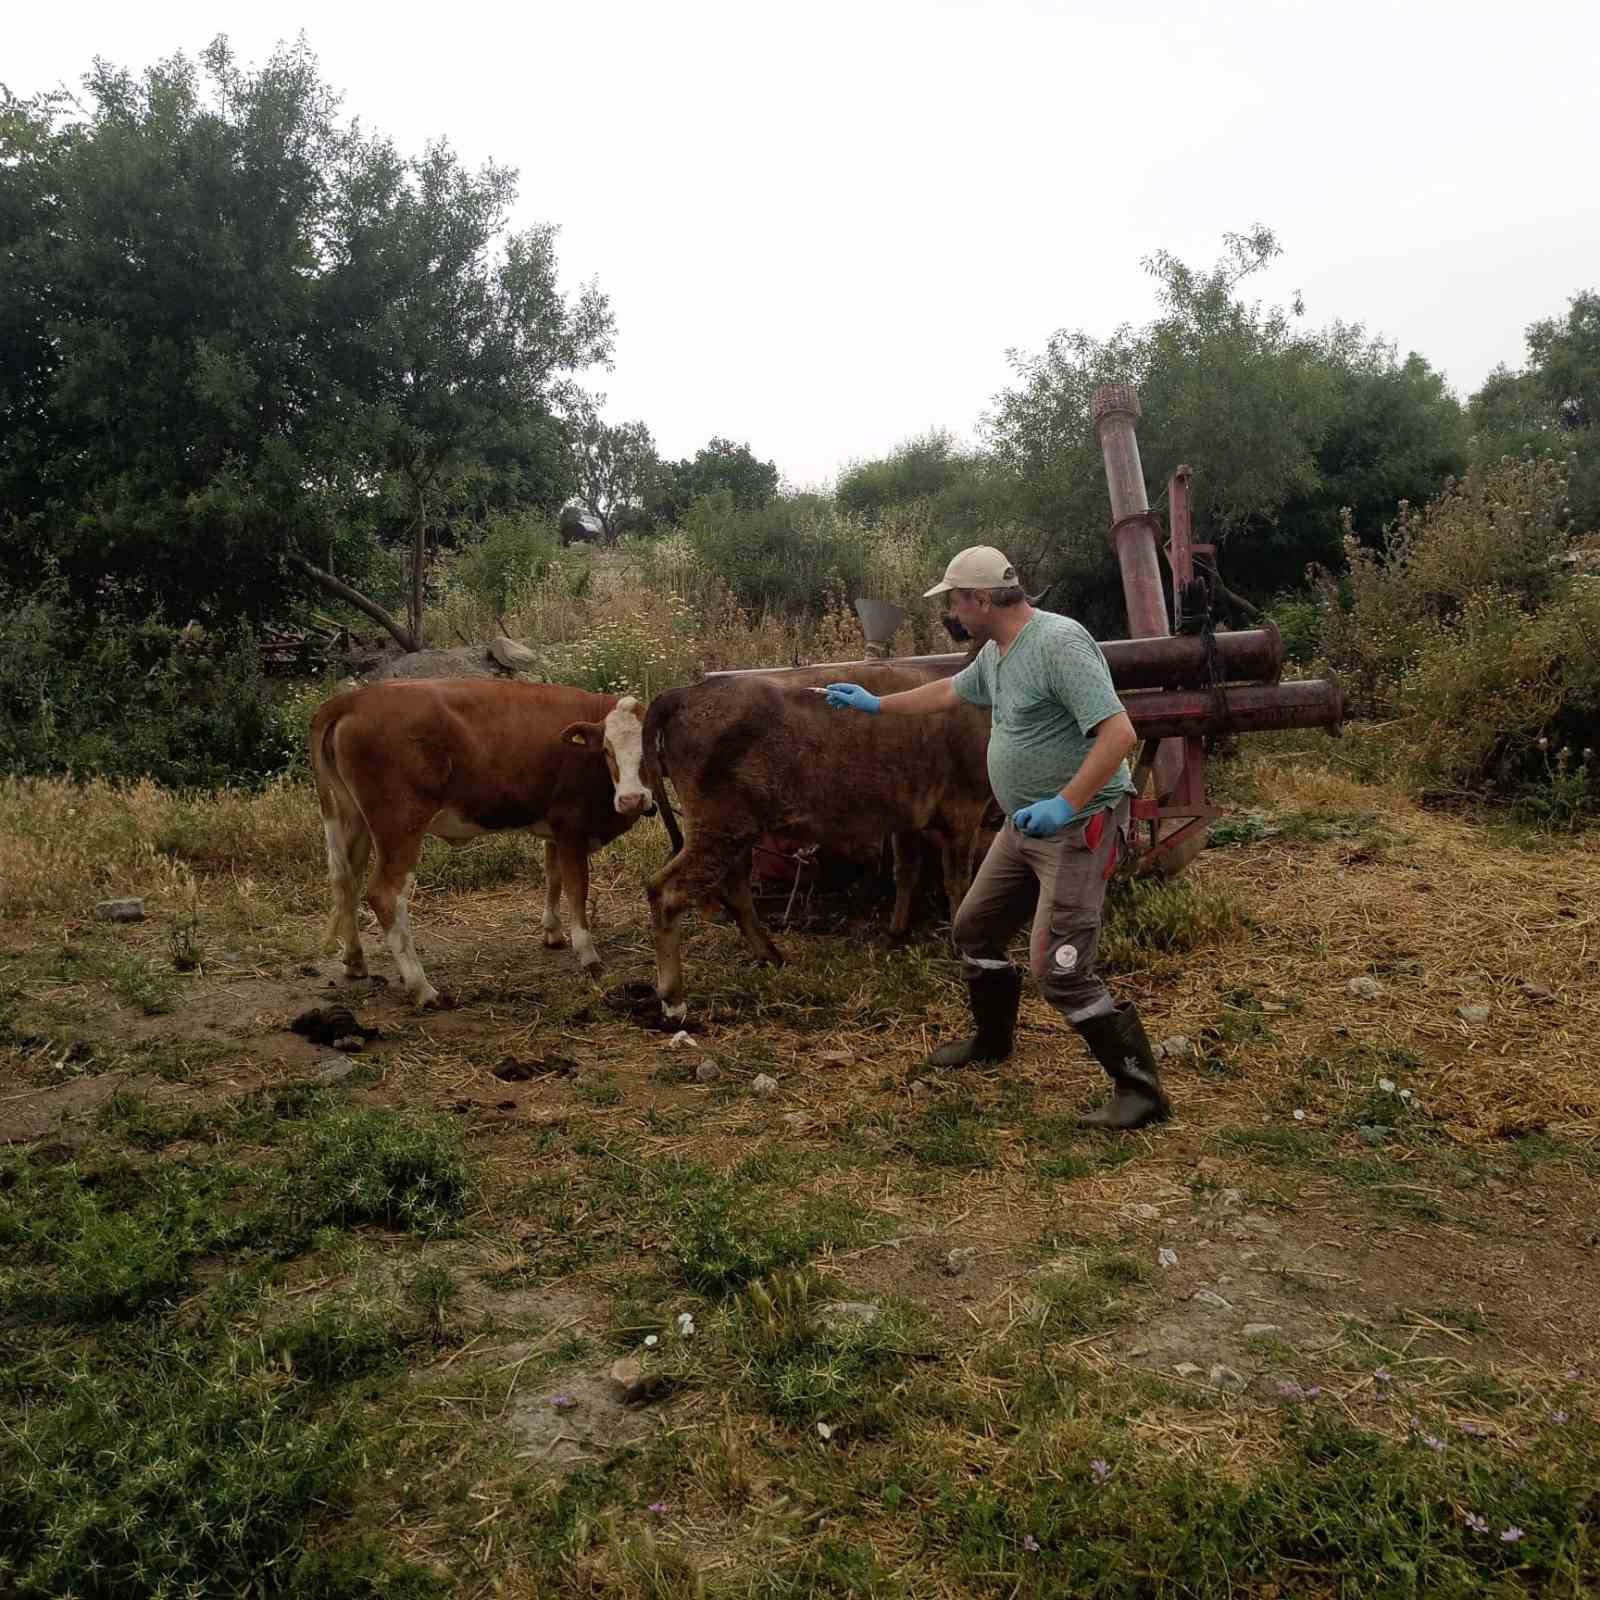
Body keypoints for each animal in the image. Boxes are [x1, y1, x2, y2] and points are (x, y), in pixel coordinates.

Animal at [312, 681, 656, 1004]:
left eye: (651, 748)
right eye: (607, 751)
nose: (632, 799)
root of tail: (351, 699)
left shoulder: (554, 828)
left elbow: (553, 876)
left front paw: (552, 932)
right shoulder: (572, 826)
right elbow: (576, 888)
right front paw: (588, 955)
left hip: (353, 818)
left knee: (348, 880)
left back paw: (355, 961)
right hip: (400, 826)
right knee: (384, 894)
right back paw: (423, 989)